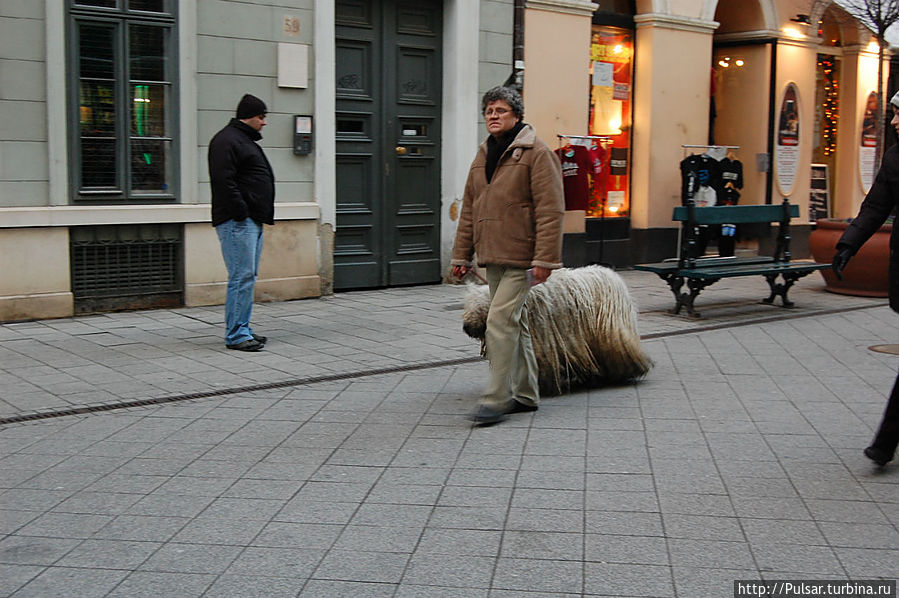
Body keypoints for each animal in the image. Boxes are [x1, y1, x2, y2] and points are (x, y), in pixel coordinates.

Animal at [464, 264, 652, 396]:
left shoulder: (543, 342)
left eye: (480, 308)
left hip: (610, 327)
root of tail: (615, 277)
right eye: (467, 306)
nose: (466, 327)